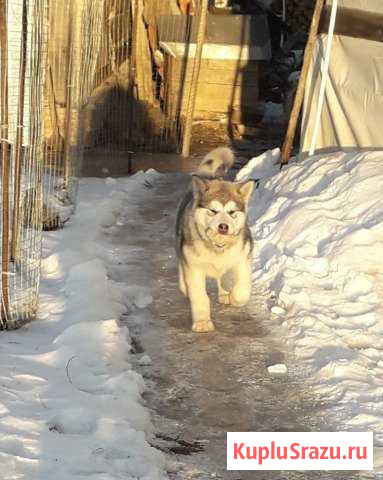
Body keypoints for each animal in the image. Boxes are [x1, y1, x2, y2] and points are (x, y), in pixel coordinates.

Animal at [176, 148, 255, 332]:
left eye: (232, 212)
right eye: (213, 211)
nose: (223, 227)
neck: (217, 246)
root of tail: (213, 177)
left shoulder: (242, 259)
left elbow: (242, 289)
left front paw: (234, 297)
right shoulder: (194, 266)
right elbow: (199, 295)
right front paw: (202, 322)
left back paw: (225, 292)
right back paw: (184, 287)